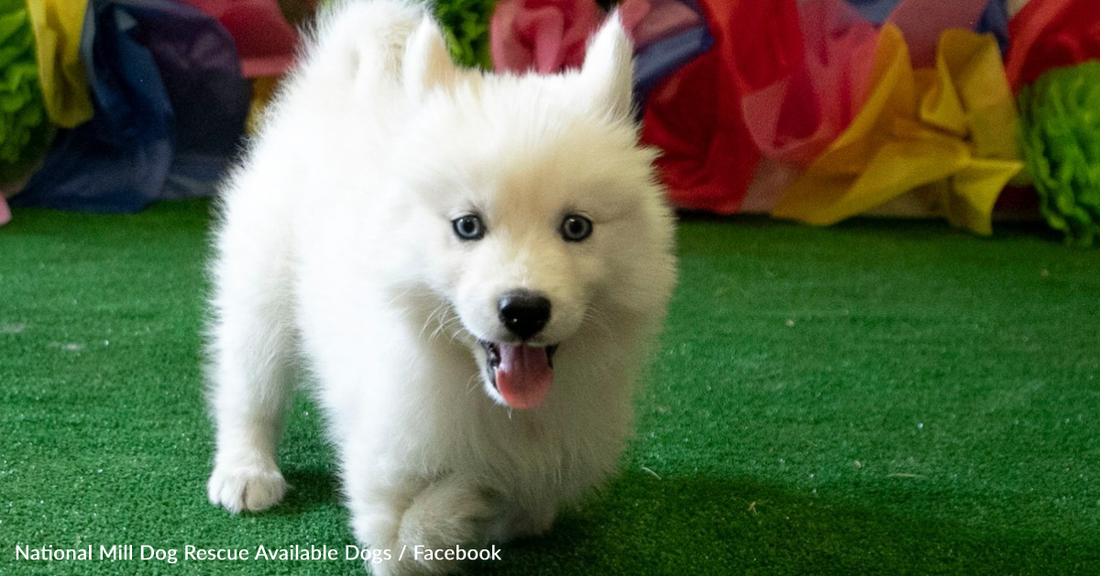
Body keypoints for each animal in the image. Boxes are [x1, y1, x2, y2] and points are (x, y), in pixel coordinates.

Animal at [202, 1, 673, 571]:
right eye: (467, 226)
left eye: (576, 227)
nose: (524, 309)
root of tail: (329, 85)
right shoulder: (385, 467)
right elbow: (417, 529)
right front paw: (478, 494)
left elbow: (532, 494)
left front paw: (508, 495)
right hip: (260, 294)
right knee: (249, 389)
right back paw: (246, 471)